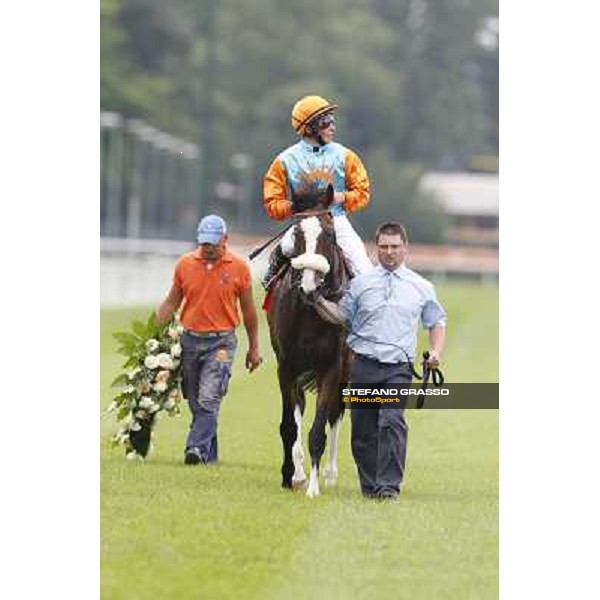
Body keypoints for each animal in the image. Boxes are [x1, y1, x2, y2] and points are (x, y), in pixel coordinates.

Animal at [266, 196, 352, 496]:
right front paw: (289, 475)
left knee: (336, 414)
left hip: (346, 371)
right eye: (297, 235)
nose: (308, 286)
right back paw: (300, 471)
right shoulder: (286, 365)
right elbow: (289, 426)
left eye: (330, 235)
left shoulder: (332, 366)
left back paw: (329, 473)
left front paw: (314, 487)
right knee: (300, 407)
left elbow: (319, 430)